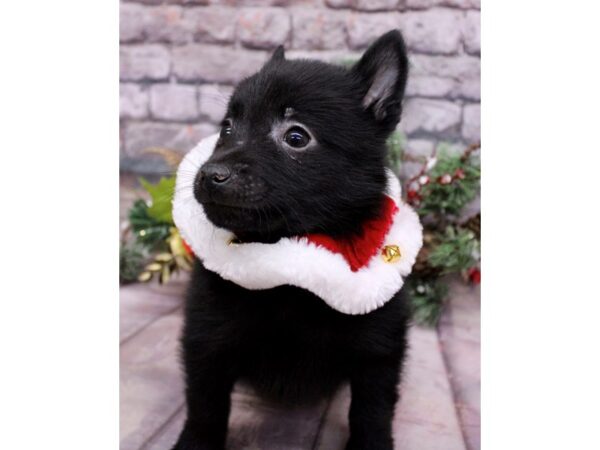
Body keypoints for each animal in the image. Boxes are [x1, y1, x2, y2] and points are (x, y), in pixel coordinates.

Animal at [171, 29, 410, 448]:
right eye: (227, 127)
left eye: (296, 137)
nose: (209, 175)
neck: (288, 272)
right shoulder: (206, 340)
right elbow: (205, 406)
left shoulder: (379, 351)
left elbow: (372, 411)